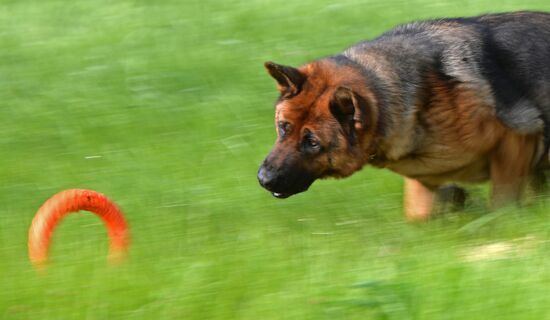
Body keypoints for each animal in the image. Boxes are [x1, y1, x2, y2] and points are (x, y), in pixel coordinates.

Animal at [258, 10, 550, 220]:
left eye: (313, 142)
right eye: (283, 127)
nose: (263, 179)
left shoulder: (516, 141)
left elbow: (502, 205)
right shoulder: (423, 178)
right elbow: (418, 214)